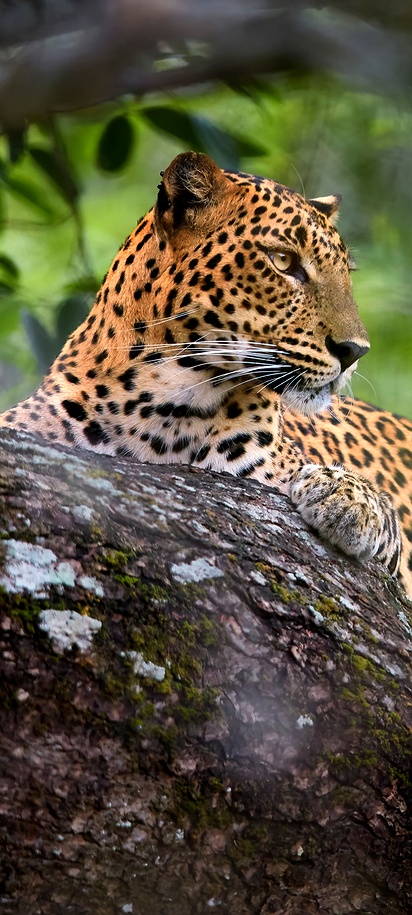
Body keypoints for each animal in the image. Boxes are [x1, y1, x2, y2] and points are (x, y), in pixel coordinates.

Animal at [1, 151, 411, 597]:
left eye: (346, 273)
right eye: (283, 261)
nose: (355, 351)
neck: (158, 409)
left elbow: (383, 515)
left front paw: (344, 497)